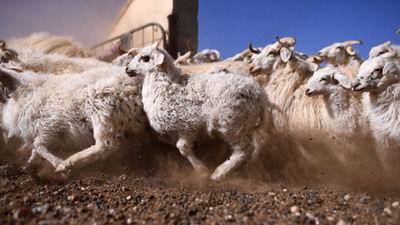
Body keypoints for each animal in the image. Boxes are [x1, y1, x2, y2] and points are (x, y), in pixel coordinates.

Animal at [0, 66, 147, 173]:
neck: (26, 91)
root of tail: (137, 84)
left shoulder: (50, 125)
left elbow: (39, 146)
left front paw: (57, 163)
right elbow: (35, 150)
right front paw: (28, 164)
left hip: (101, 108)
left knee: (106, 146)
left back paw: (68, 163)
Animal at [126, 43, 268, 181]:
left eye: (144, 58)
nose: (127, 69)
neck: (169, 86)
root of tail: (258, 94)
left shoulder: (188, 126)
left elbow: (182, 148)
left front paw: (202, 171)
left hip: (231, 124)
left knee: (245, 148)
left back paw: (219, 174)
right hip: (243, 125)